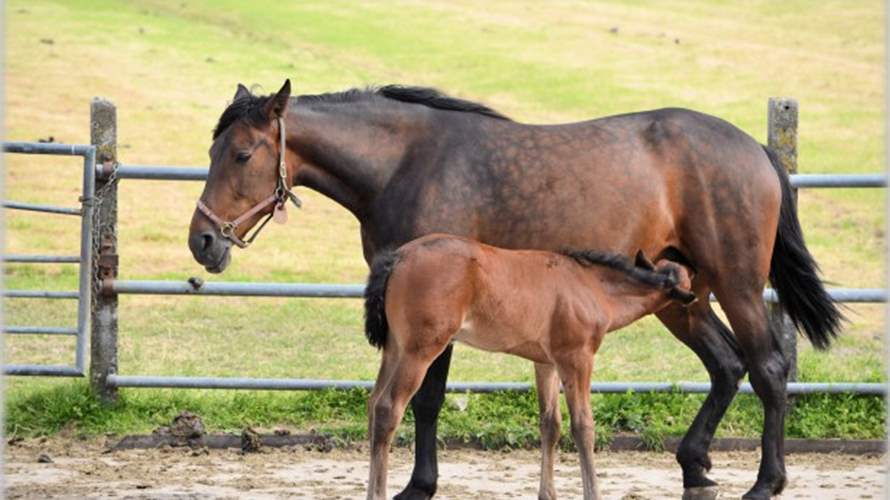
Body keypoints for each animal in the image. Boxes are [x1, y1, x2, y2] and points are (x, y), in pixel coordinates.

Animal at [360, 235, 692, 500]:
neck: (592, 287)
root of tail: (399, 256)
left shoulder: (547, 363)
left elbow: (551, 424)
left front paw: (548, 494)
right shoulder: (577, 358)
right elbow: (583, 426)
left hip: (395, 350)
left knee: (374, 404)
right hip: (419, 352)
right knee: (388, 409)